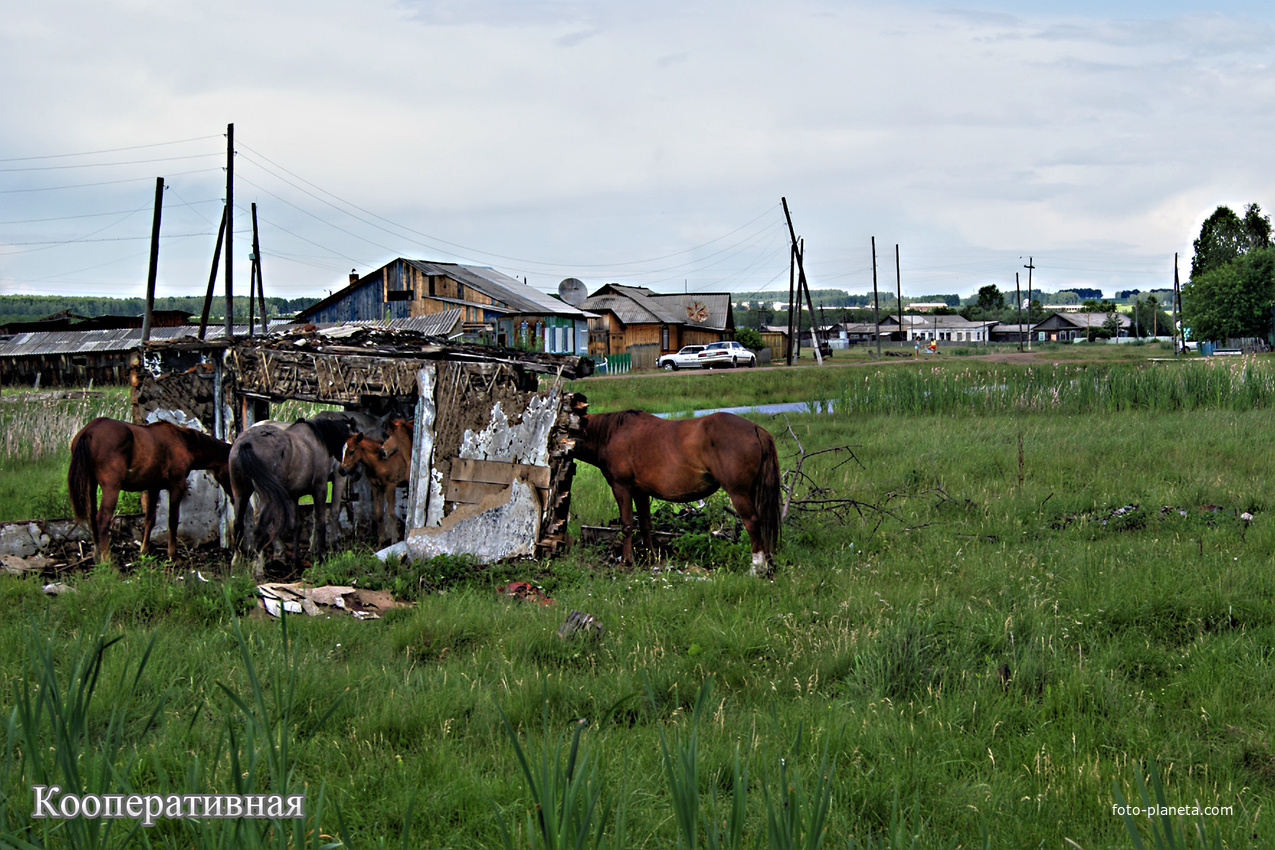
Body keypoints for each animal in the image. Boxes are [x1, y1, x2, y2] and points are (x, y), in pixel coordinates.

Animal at [67, 417, 233, 565]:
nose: (234, 497)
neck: (184, 442)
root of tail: (89, 431)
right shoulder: (177, 486)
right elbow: (172, 521)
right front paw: (173, 555)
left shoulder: (154, 488)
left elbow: (150, 519)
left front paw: (144, 551)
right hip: (111, 489)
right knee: (102, 520)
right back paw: (107, 561)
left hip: (90, 485)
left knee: (92, 519)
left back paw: (97, 558)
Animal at [226, 417, 351, 565]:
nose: (343, 470)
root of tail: (246, 442)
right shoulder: (321, 487)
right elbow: (322, 519)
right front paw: (322, 554)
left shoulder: (293, 496)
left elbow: (296, 525)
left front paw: (297, 560)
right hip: (268, 497)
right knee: (260, 528)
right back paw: (259, 565)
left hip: (241, 493)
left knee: (238, 524)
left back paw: (237, 561)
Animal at [576, 410, 775, 576]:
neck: (612, 434)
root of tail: (754, 428)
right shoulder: (641, 492)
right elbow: (645, 525)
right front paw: (650, 559)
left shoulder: (621, 487)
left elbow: (627, 526)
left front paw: (627, 561)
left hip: (738, 493)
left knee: (752, 523)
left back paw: (756, 568)